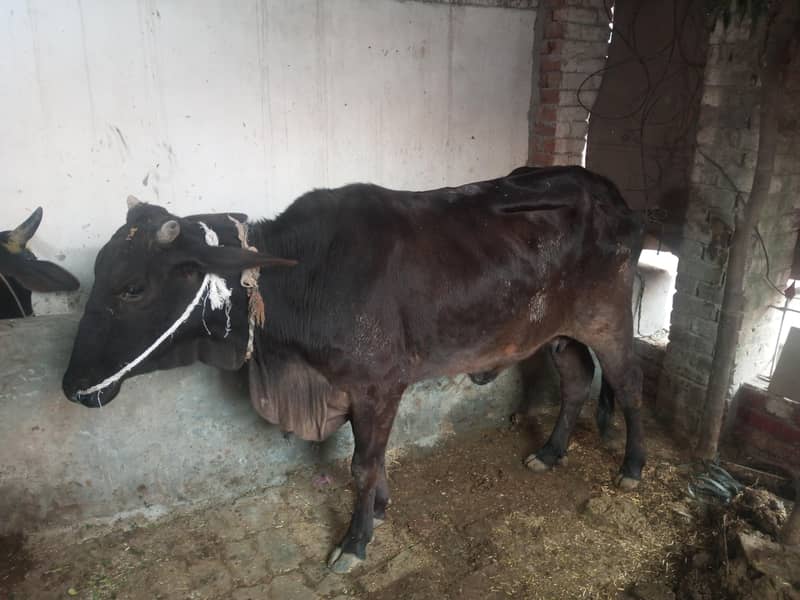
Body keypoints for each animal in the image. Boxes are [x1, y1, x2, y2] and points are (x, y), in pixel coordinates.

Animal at [62, 166, 645, 573]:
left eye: (133, 288)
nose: (71, 387)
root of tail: (604, 188)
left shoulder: (378, 385)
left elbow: (362, 464)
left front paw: (355, 540)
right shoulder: (354, 389)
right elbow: (375, 458)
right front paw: (379, 509)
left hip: (608, 318)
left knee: (627, 386)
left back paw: (632, 466)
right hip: (558, 331)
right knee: (576, 379)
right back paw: (549, 452)